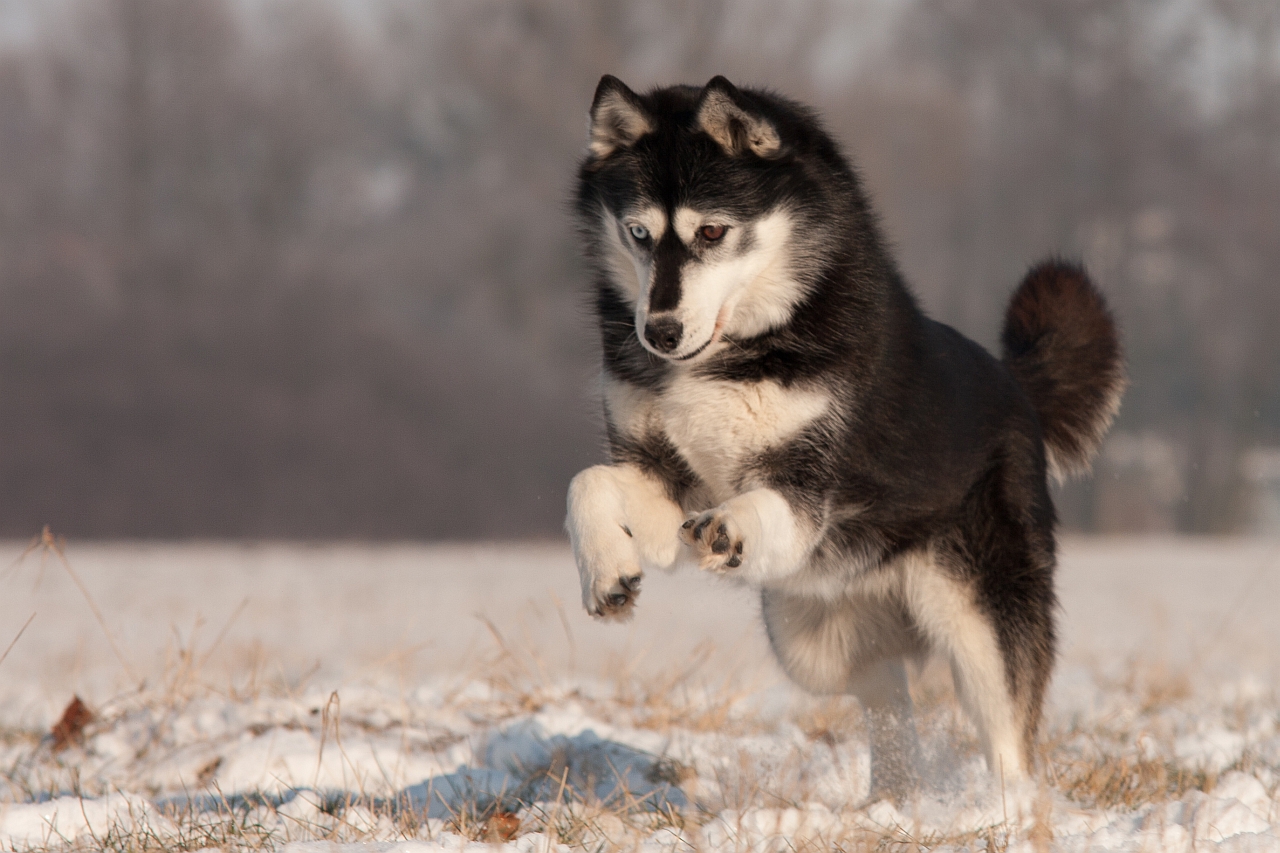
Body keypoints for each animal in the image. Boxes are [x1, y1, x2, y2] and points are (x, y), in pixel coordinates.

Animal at [568, 74, 1121, 799]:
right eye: (637, 232)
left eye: (712, 231)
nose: (658, 331)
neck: (737, 351)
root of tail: (1016, 388)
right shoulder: (659, 479)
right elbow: (588, 484)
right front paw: (607, 573)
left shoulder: (806, 490)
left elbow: (760, 505)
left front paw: (727, 529)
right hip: (812, 643)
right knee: (888, 699)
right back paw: (890, 801)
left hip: (980, 618)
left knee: (1007, 735)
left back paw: (1003, 808)